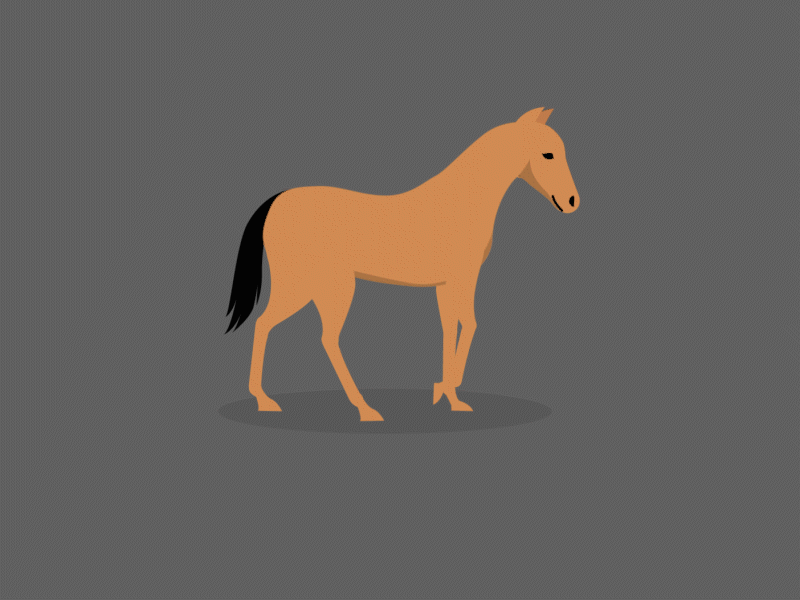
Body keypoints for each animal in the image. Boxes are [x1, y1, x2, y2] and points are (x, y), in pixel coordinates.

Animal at [226, 107, 579, 421]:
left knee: (288, 330)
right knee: (301, 332)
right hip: (312, 285)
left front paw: (449, 398)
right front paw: (447, 390)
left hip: (317, 287)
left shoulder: (445, 285)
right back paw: (356, 409)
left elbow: (449, 329)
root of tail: (277, 202)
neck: (461, 201)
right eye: (548, 155)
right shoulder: (464, 278)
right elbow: (471, 324)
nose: (573, 202)